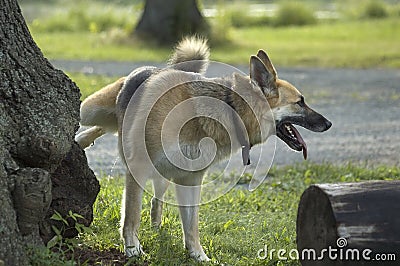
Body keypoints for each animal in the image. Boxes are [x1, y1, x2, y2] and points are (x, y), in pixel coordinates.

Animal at [75, 36, 332, 260]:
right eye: (300, 102)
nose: (329, 124)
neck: (229, 109)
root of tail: (152, 69)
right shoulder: (138, 168)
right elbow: (131, 215)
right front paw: (133, 250)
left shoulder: (190, 179)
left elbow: (191, 225)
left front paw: (198, 256)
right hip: (90, 110)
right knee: (94, 122)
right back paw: (80, 138)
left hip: (163, 174)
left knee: (156, 199)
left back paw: (156, 226)